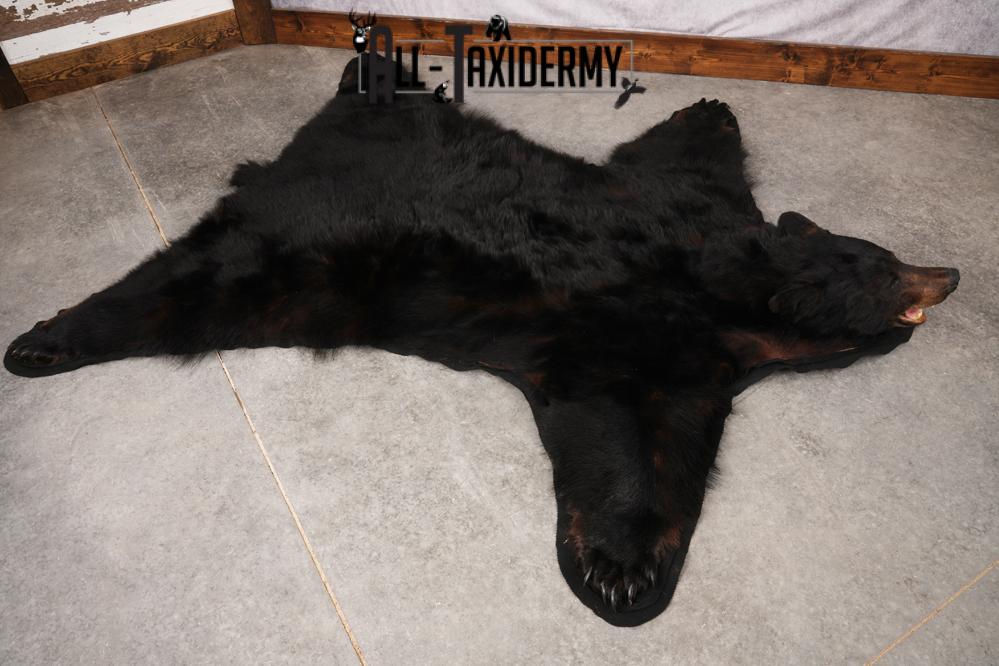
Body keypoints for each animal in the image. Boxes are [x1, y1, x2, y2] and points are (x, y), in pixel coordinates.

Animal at [4, 57, 959, 625]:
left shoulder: (677, 316)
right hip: (303, 273)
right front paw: (620, 571)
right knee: (184, 292)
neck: (724, 292)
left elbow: (648, 436)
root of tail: (284, 166)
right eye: (888, 263)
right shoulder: (637, 332)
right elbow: (628, 441)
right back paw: (40, 343)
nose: (949, 273)